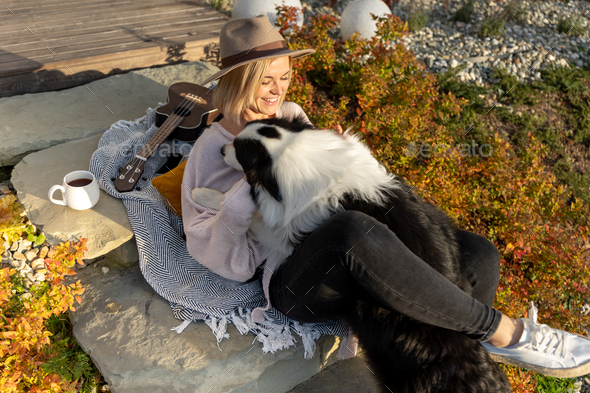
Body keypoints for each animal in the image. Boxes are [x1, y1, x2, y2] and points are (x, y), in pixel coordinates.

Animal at [192, 117, 512, 392]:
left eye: (239, 152)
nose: (221, 149)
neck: (296, 153)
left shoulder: (285, 233)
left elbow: (256, 218)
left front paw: (204, 195)